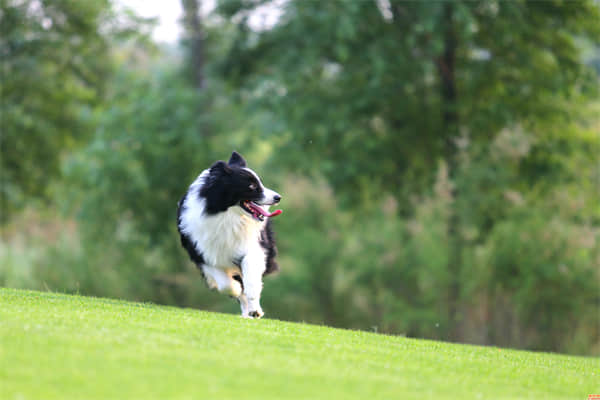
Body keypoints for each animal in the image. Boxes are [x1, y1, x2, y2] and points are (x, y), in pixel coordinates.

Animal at [177, 152, 282, 318]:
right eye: (252, 186)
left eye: (260, 182)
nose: (278, 197)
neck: (226, 217)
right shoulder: (202, 253)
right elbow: (225, 283)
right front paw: (236, 289)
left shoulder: (253, 247)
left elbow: (251, 277)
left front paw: (253, 305)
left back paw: (253, 311)